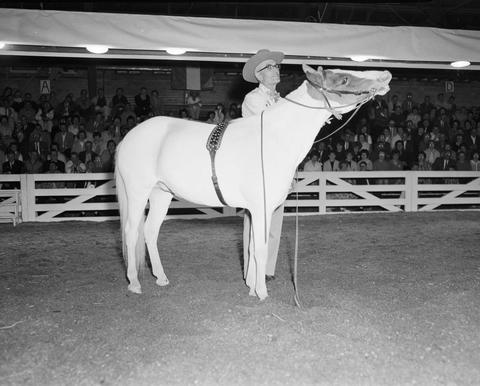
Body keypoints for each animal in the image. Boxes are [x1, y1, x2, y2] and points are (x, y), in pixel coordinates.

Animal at [114, 64, 392, 298]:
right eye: (344, 79)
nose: (385, 75)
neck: (274, 137)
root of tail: (129, 137)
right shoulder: (262, 208)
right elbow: (260, 249)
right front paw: (261, 292)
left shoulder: (257, 210)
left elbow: (252, 248)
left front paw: (251, 286)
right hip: (138, 192)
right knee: (131, 231)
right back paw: (134, 283)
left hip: (161, 193)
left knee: (150, 231)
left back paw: (161, 278)